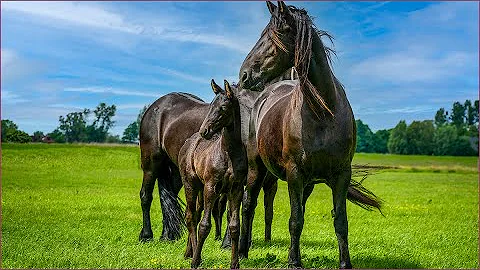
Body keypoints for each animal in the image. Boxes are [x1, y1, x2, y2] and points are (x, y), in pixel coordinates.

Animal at [237, 1, 382, 268]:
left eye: (277, 34)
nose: (244, 75)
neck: (323, 110)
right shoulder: (295, 173)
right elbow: (295, 220)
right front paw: (295, 262)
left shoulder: (341, 174)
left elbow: (339, 221)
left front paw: (345, 263)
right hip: (256, 168)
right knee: (248, 204)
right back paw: (242, 251)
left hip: (309, 183)